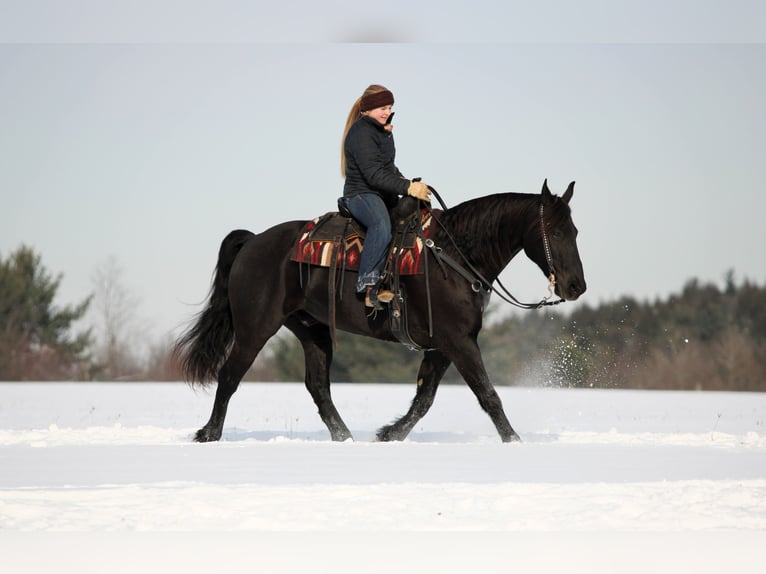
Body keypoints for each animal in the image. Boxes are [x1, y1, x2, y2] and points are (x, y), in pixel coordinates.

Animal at [174, 179, 586, 443]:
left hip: (312, 329)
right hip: (255, 328)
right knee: (229, 375)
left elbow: (424, 398)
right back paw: (208, 434)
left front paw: (390, 434)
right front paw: (514, 441)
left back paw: (345, 437)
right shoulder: (458, 341)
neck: (452, 255)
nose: (576, 286)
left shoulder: (443, 345)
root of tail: (253, 242)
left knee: (318, 386)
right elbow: (487, 394)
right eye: (556, 232)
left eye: (576, 231)